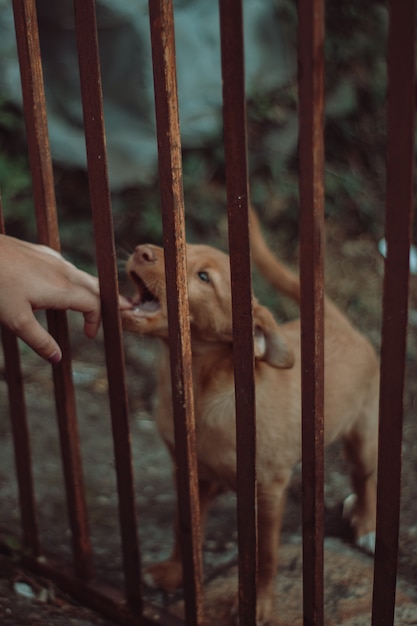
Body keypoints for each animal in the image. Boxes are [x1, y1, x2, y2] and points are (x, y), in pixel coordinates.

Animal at [122, 211, 378, 624]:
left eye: (204, 277)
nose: (142, 251)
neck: (205, 389)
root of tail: (339, 324)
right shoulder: (190, 473)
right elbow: (184, 527)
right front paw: (173, 573)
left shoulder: (269, 488)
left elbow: (266, 554)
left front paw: (259, 604)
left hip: (365, 432)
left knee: (365, 475)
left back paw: (367, 522)